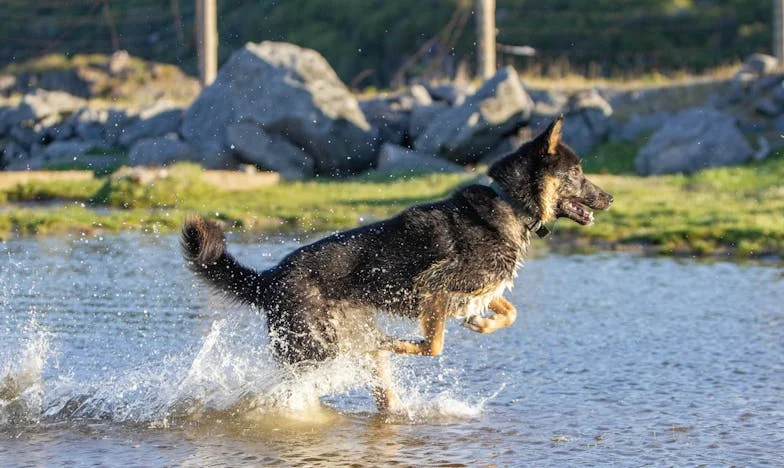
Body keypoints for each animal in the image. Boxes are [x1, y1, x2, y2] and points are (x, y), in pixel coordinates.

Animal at [182, 116, 612, 414]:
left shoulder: (474, 290)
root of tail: (268, 279)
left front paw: (483, 323)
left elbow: (508, 310)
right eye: (577, 173)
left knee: (379, 391)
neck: (511, 204)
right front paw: (407, 342)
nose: (608, 197)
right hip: (317, 351)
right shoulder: (435, 285)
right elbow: (434, 345)